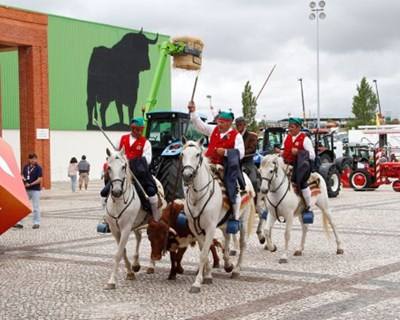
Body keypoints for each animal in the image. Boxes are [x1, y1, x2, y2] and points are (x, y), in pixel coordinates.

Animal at [104, 148, 166, 290]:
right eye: (109, 167)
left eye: (123, 166)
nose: (116, 191)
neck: (118, 202)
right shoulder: (115, 230)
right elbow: (123, 251)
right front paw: (130, 272)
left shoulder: (126, 228)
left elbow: (118, 253)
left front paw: (111, 281)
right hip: (137, 223)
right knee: (138, 237)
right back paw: (136, 264)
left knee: (154, 237)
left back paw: (151, 266)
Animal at [181, 138, 256, 292]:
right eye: (182, 154)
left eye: (197, 154)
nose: (187, 176)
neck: (198, 197)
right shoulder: (196, 228)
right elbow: (204, 250)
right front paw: (208, 275)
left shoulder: (210, 228)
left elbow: (204, 253)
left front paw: (197, 282)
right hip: (224, 223)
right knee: (227, 239)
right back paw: (228, 264)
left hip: (243, 221)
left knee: (242, 244)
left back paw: (236, 270)